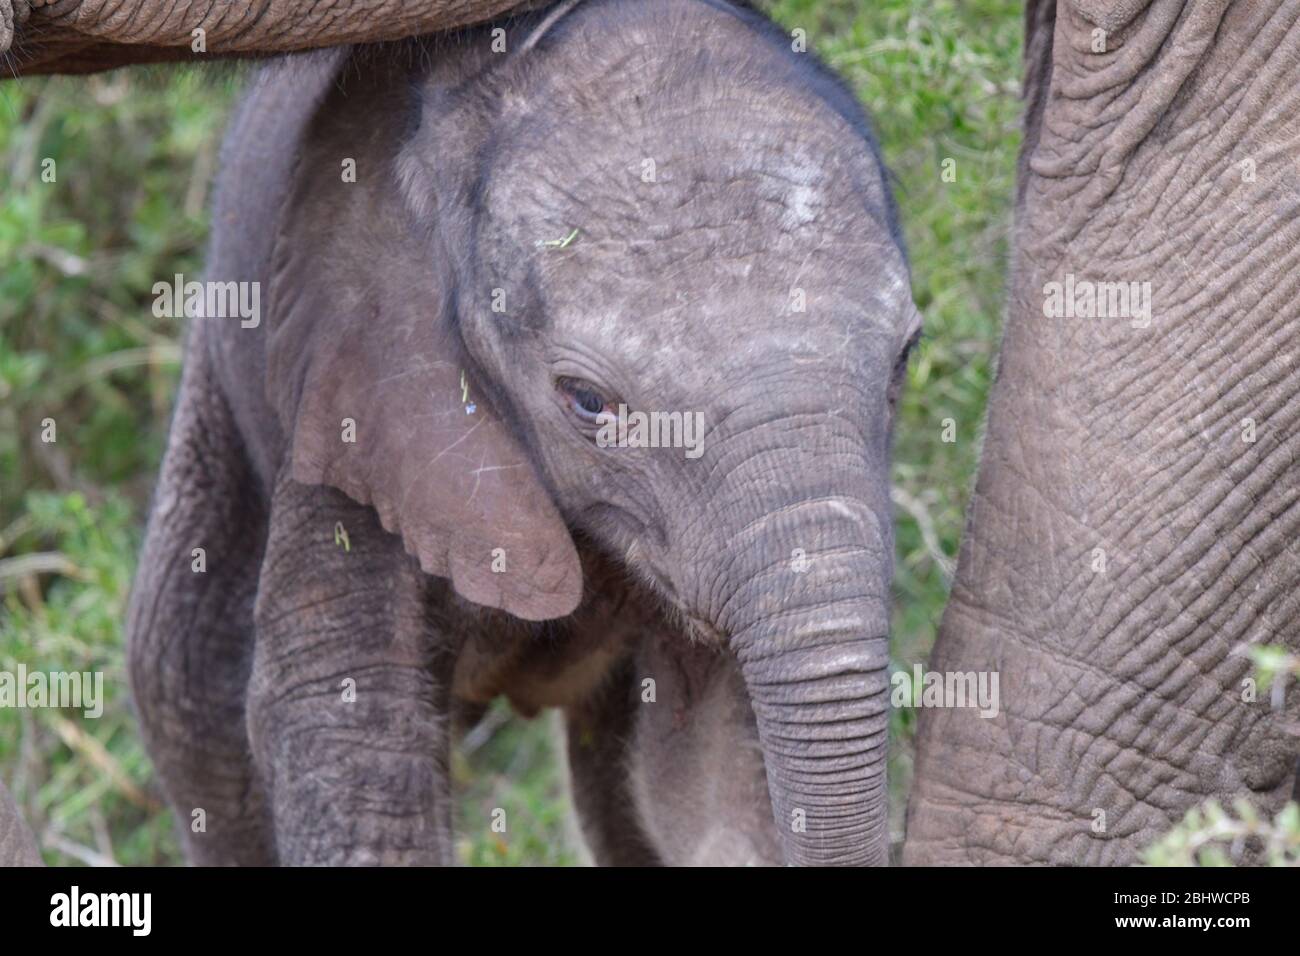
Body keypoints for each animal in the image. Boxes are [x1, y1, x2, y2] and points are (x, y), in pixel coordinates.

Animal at [129, 0, 915, 868]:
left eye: (904, 358)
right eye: (587, 401)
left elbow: (707, 780)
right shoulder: (352, 383)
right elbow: (347, 721)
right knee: (188, 697)